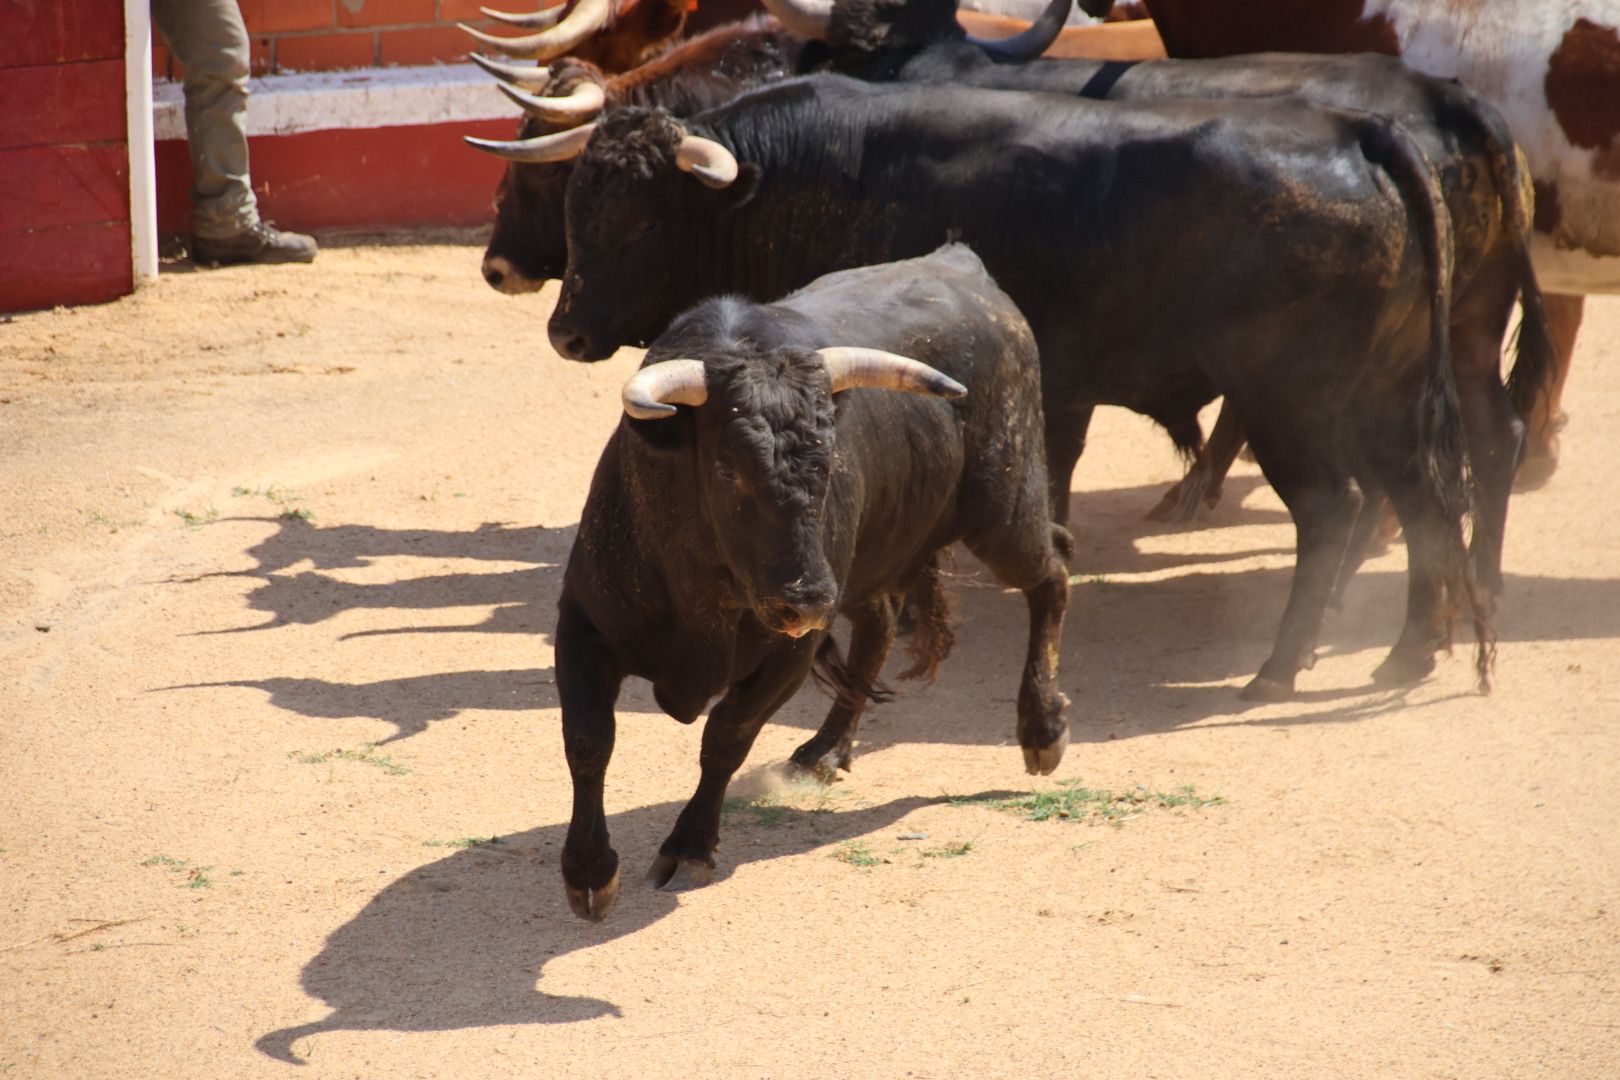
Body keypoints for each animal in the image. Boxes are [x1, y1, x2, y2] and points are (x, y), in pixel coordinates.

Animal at [544, 74, 1490, 702]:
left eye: (636, 218)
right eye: (576, 205)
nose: (566, 332)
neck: (821, 175)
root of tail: (1357, 129)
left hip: (1288, 404)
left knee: (1334, 511)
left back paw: (1279, 669)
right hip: (1386, 394)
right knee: (1423, 498)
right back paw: (1407, 655)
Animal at [557, 247, 1075, 919]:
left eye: (829, 461)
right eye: (726, 468)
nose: (805, 599)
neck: (705, 595)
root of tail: (961, 262)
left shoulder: (789, 653)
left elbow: (727, 736)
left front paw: (690, 844)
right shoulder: (582, 626)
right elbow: (589, 739)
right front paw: (588, 871)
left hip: (1004, 510)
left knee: (1052, 570)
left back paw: (1042, 728)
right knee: (881, 622)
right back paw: (827, 750)